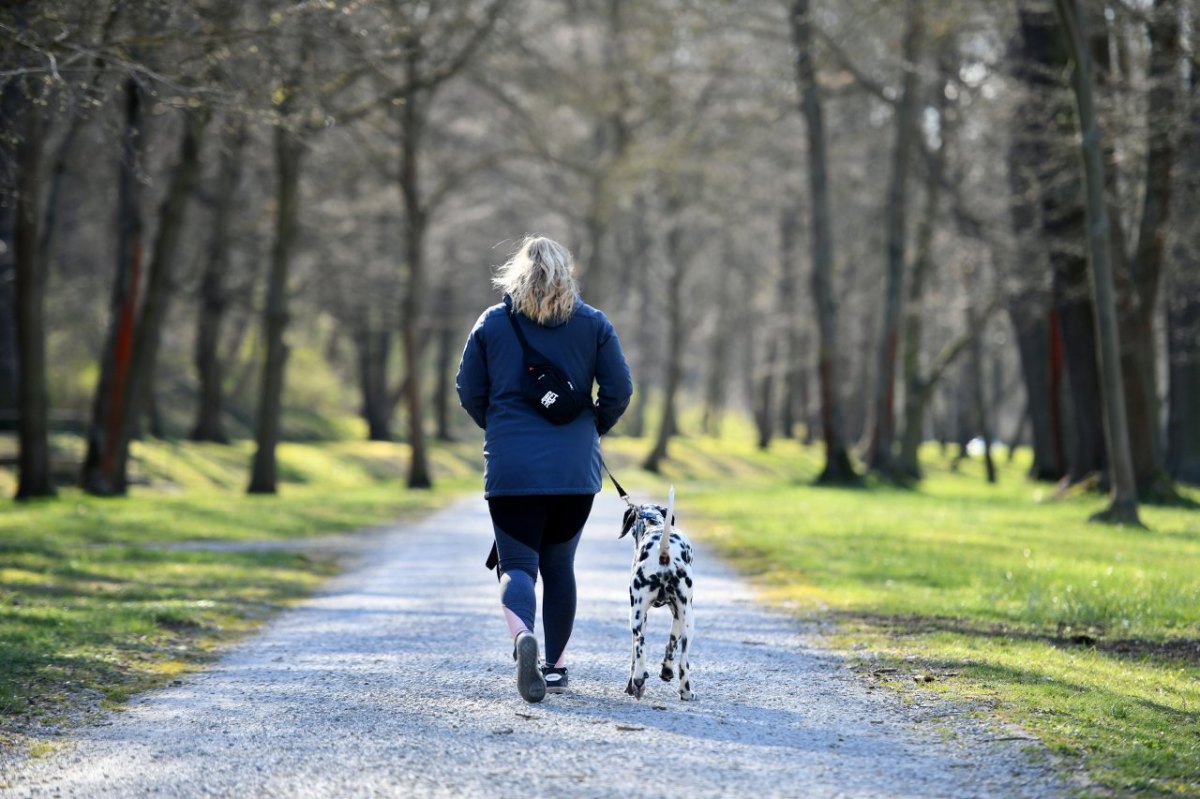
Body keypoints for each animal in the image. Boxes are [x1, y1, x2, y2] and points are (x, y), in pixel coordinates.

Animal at [619, 484, 696, 695]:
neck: (655, 524)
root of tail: (664, 553)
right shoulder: (677, 614)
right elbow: (671, 645)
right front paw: (666, 671)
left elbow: (634, 657)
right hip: (687, 620)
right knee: (683, 661)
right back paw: (685, 691)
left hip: (637, 617)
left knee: (639, 647)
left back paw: (638, 680)